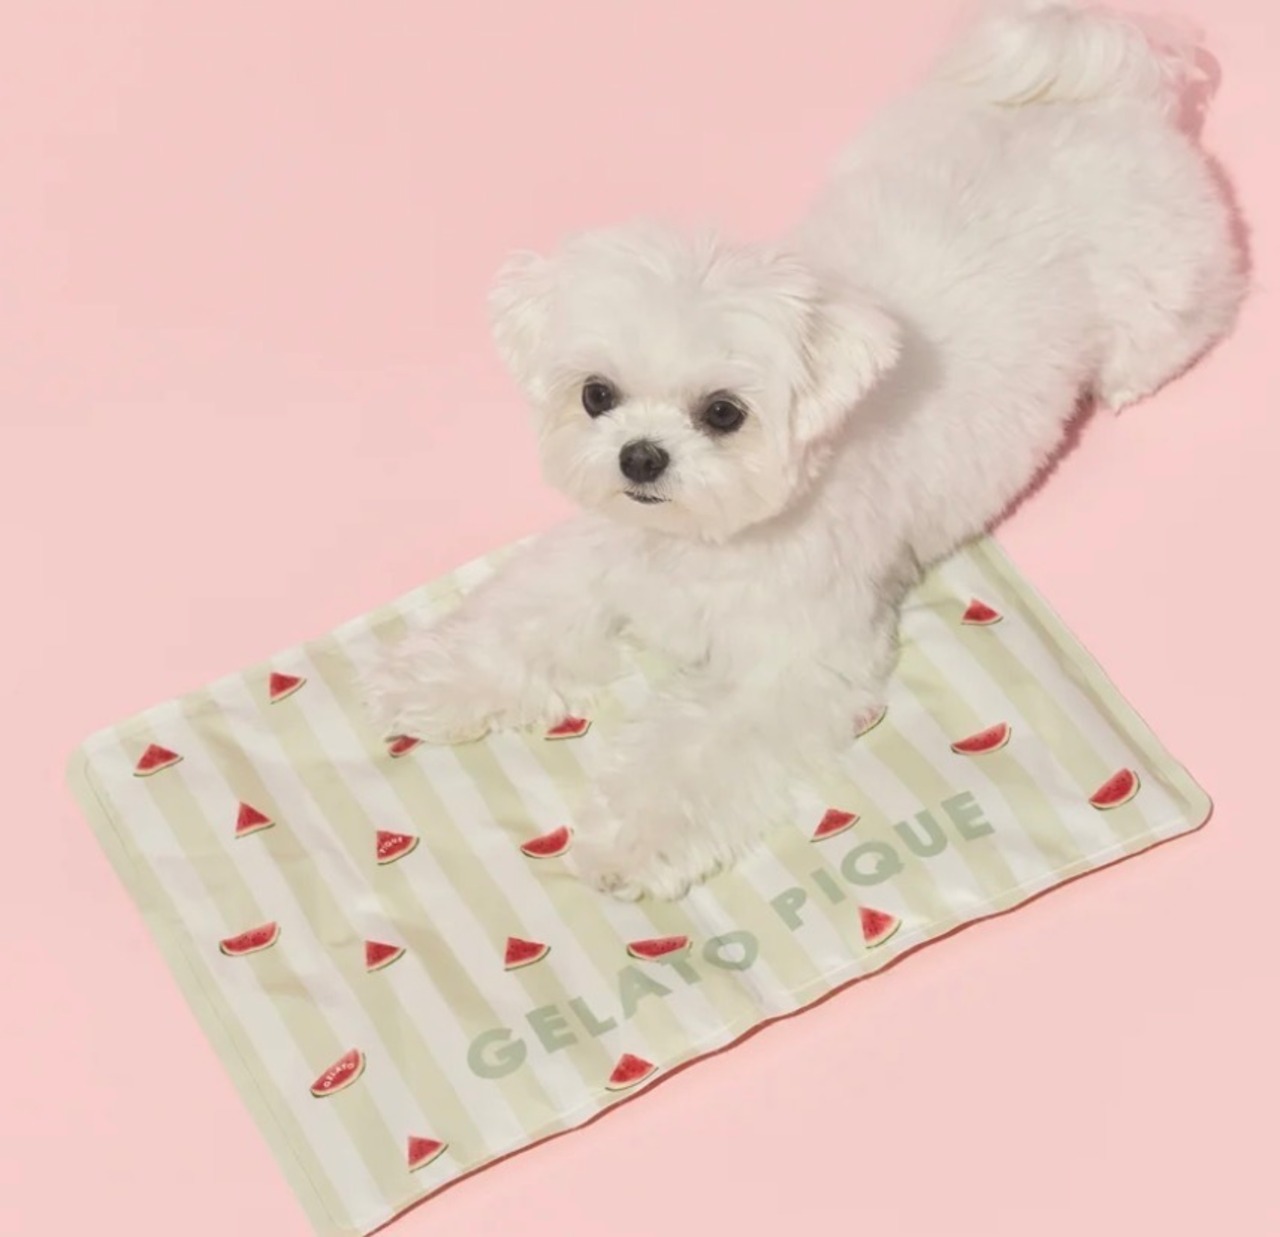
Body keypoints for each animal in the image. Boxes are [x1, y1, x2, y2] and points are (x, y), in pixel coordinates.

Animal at [364, 0, 1244, 900]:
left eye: (723, 412)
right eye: (596, 395)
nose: (640, 457)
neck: (702, 545)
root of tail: (1107, 91)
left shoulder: (790, 664)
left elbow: (695, 753)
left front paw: (633, 837)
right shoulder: (598, 559)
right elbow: (517, 620)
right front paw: (431, 678)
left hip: (1161, 296)